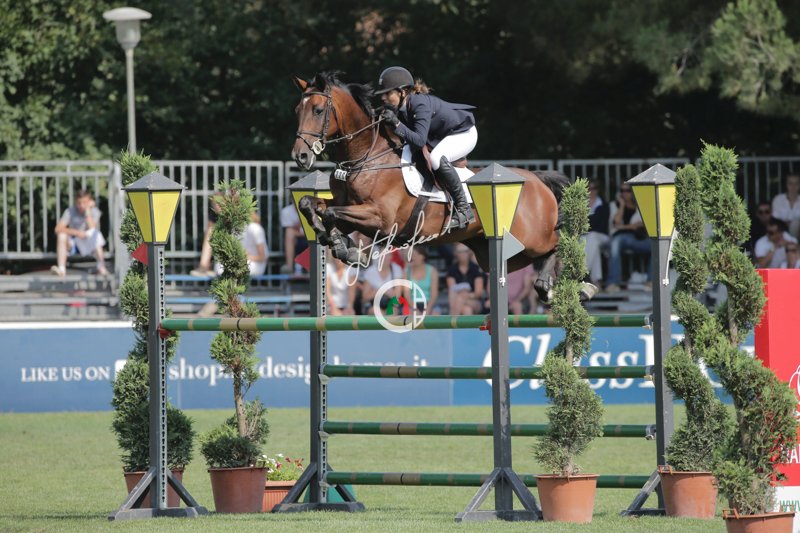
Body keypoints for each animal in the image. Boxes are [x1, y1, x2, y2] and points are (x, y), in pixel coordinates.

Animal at [290, 72, 593, 301]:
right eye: (297, 111)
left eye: (318, 110)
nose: (300, 156)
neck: (366, 155)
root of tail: (536, 179)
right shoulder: (351, 208)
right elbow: (312, 205)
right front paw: (339, 243)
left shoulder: (381, 218)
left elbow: (330, 213)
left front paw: (344, 247)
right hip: (496, 251)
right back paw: (549, 287)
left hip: (531, 237)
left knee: (559, 242)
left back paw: (577, 287)